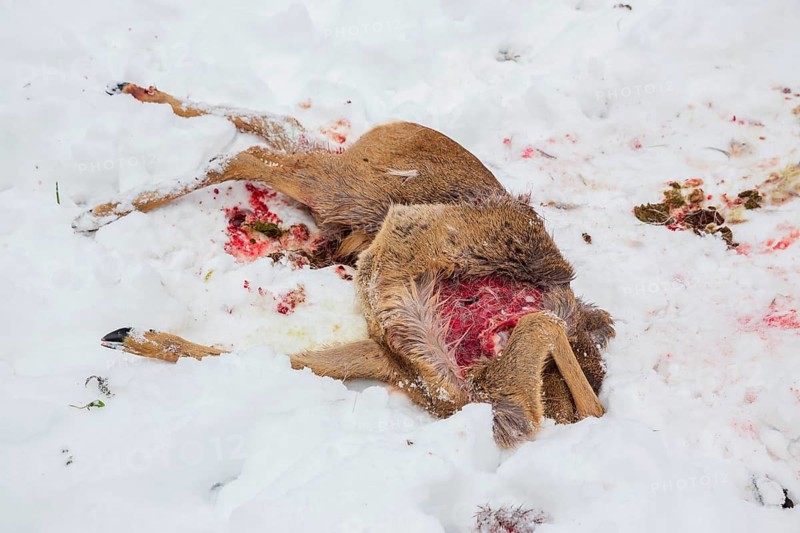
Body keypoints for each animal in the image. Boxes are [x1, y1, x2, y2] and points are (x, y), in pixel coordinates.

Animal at [77, 83, 615, 448]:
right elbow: (569, 369)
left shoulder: (393, 361)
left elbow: (277, 360)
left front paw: (133, 336)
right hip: (351, 189)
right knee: (253, 153)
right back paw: (95, 212)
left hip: (346, 195)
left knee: (279, 132)